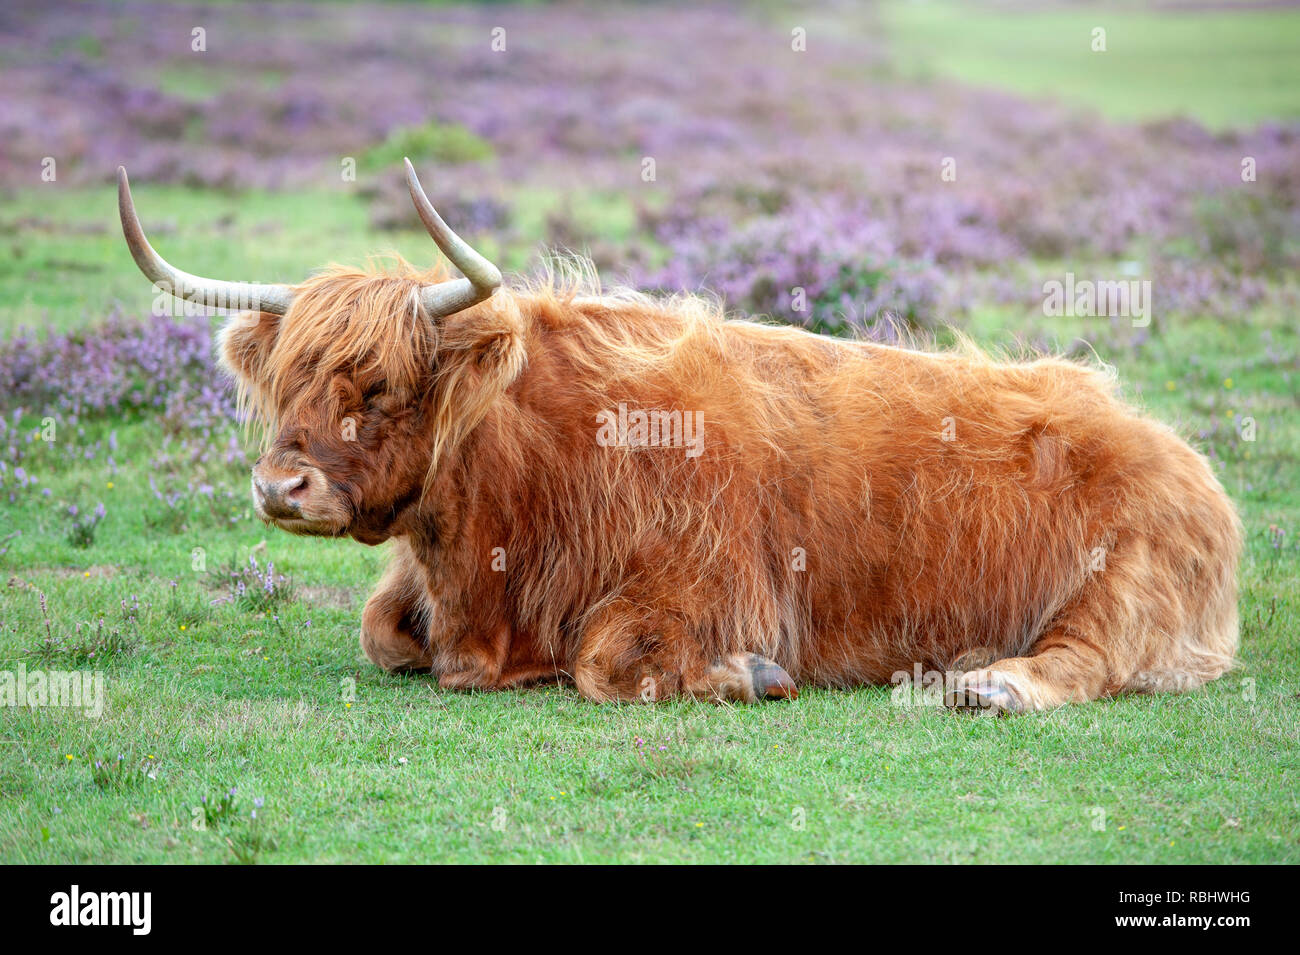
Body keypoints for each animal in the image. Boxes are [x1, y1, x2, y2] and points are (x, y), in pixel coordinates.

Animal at [116, 162, 1242, 712]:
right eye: (283, 384)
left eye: (381, 384)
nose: (281, 488)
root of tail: (1171, 445)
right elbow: (382, 632)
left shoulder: (713, 582)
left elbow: (604, 661)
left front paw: (749, 676)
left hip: (1120, 583)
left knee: (1086, 657)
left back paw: (991, 683)